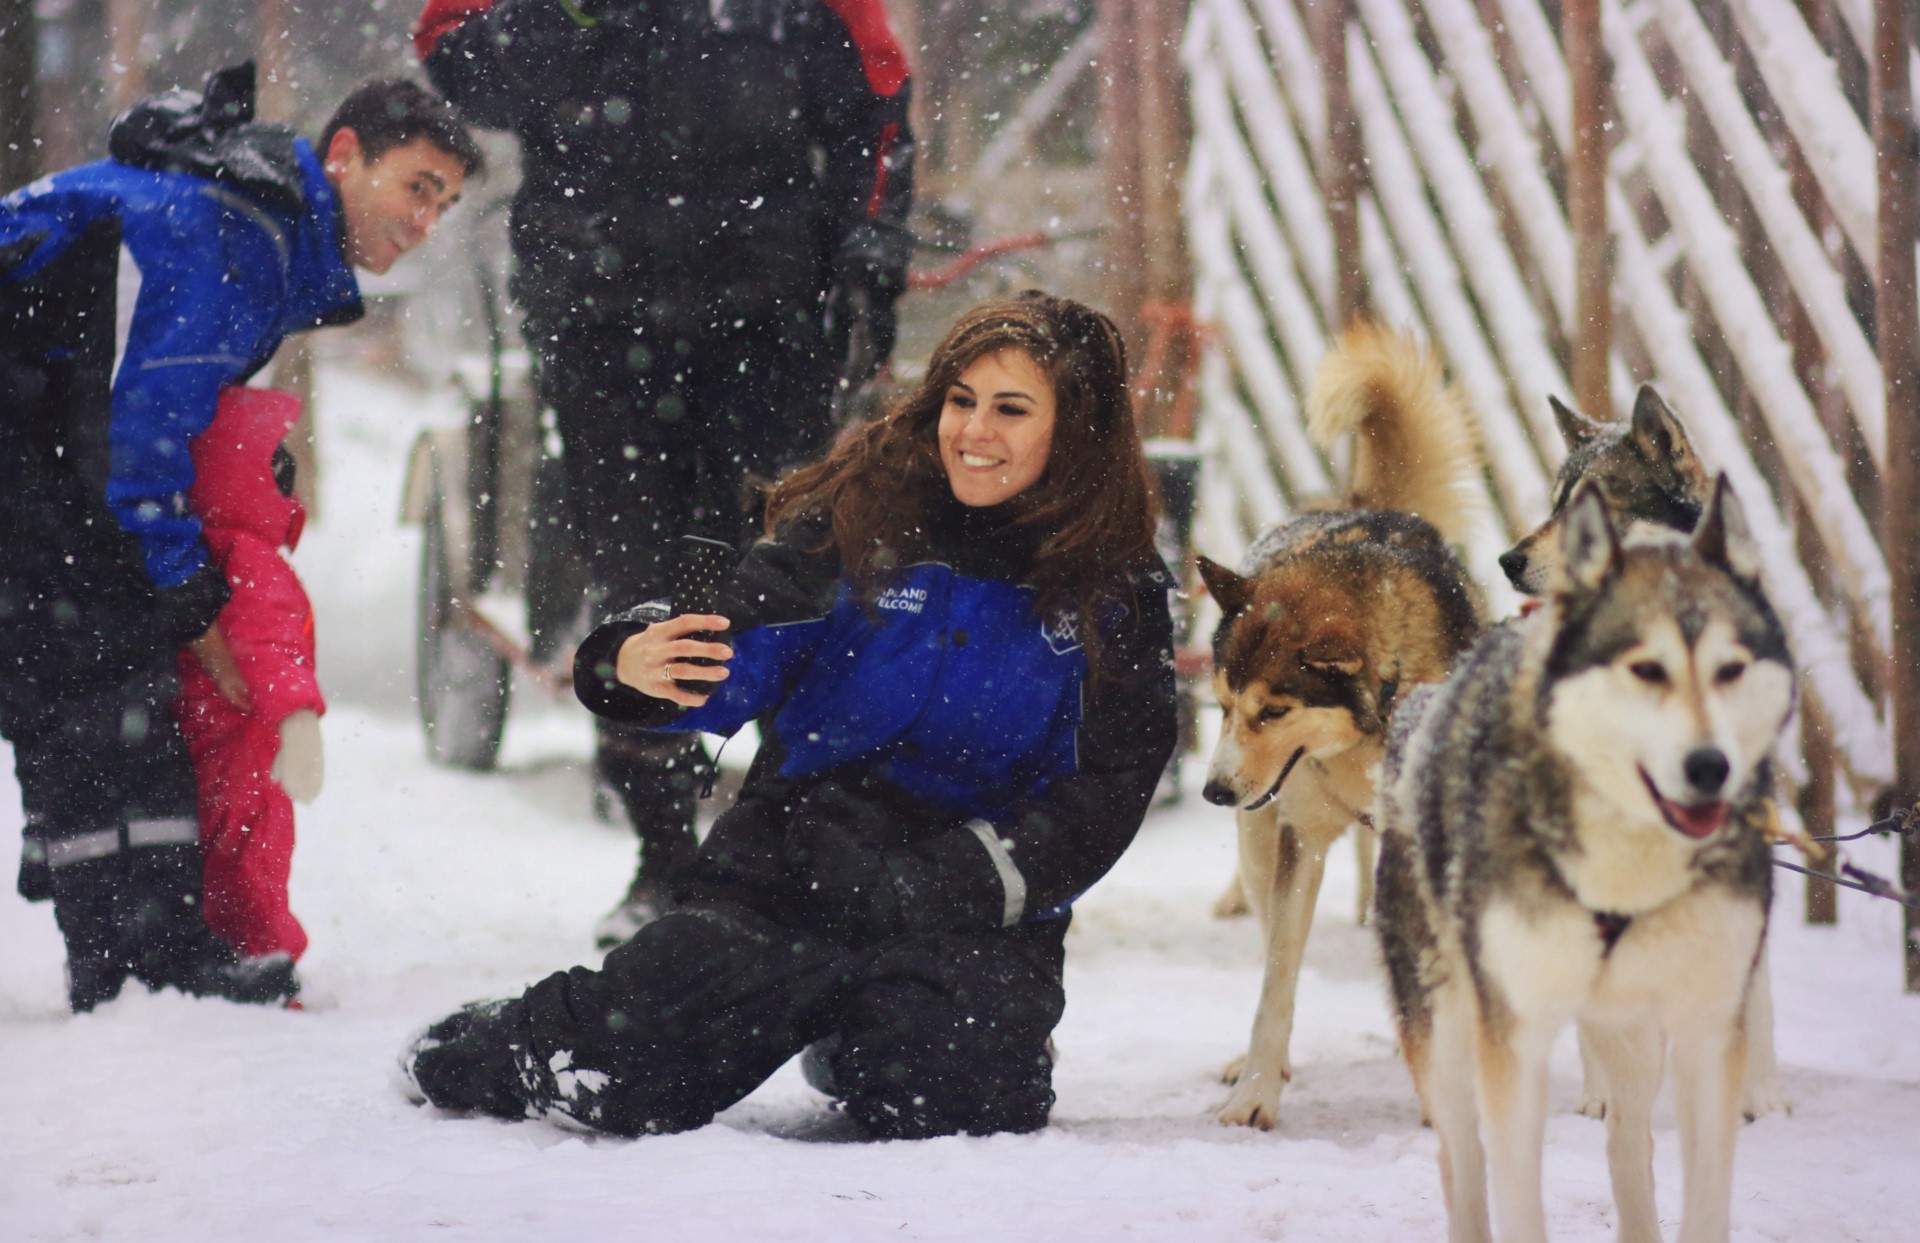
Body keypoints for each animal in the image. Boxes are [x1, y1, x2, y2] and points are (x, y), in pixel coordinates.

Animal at [1198, 326, 1482, 1129]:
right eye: (1223, 704)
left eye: (1274, 710)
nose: (1213, 790)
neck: (1366, 734)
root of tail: (1360, 503)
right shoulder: (1297, 841)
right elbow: (1275, 983)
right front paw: (1255, 1091)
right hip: (1262, 844)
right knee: (1274, 941)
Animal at [1374, 478, 1789, 1243]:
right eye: (1647, 669)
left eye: (1731, 669)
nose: (1709, 767)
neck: (1629, 869)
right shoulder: (1513, 1036)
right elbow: (1513, 1194)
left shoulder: (1708, 1027)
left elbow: (1705, 1198)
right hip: (1444, 1027)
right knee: (1462, 1159)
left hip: (1632, 1031)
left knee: (1628, 1143)